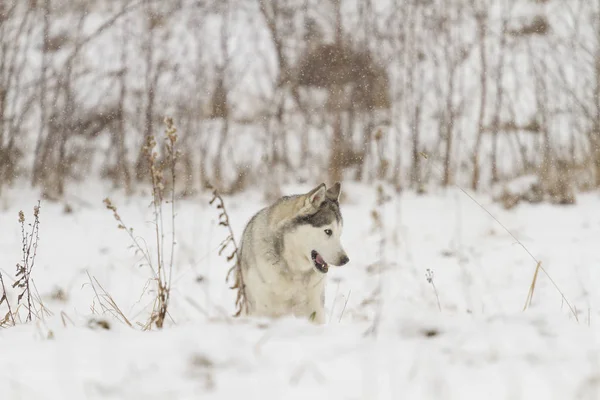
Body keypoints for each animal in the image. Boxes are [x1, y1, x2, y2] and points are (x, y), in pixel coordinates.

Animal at [239, 183, 350, 324]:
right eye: (328, 231)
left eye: (340, 234)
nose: (345, 260)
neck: (294, 270)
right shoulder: (265, 310)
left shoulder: (314, 309)